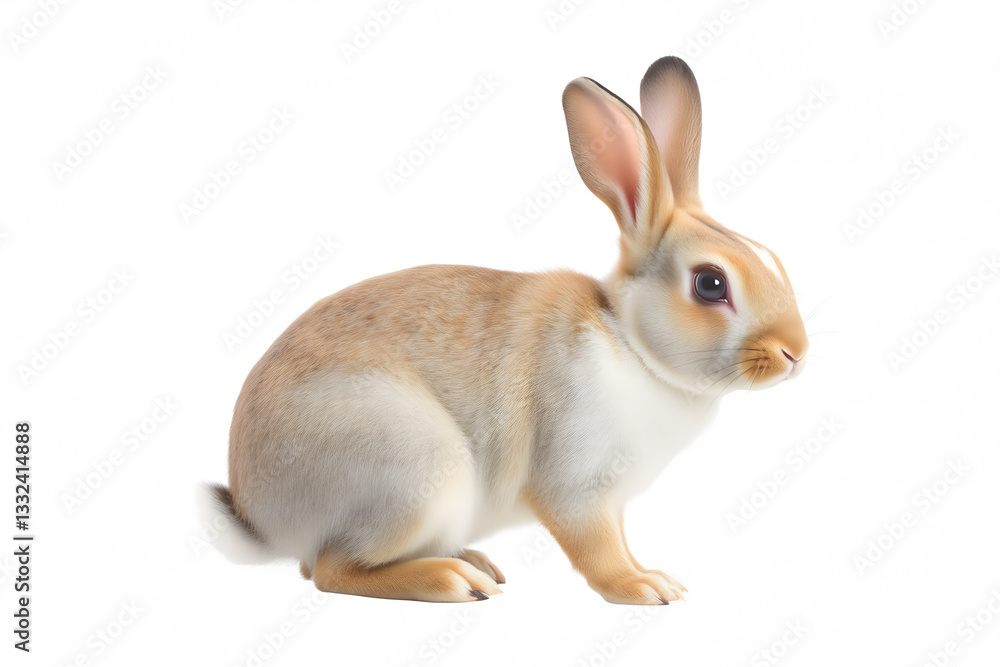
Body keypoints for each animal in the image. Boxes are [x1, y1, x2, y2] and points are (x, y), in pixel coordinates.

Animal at [206, 56, 808, 604]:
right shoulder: (577, 488)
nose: (796, 353)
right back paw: (455, 581)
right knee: (331, 570)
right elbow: (599, 551)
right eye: (710, 284)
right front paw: (645, 588)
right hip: (416, 470)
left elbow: (620, 541)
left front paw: (655, 577)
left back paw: (474, 563)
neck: (631, 345)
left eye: (773, 258)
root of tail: (259, 517)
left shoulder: (613, 501)